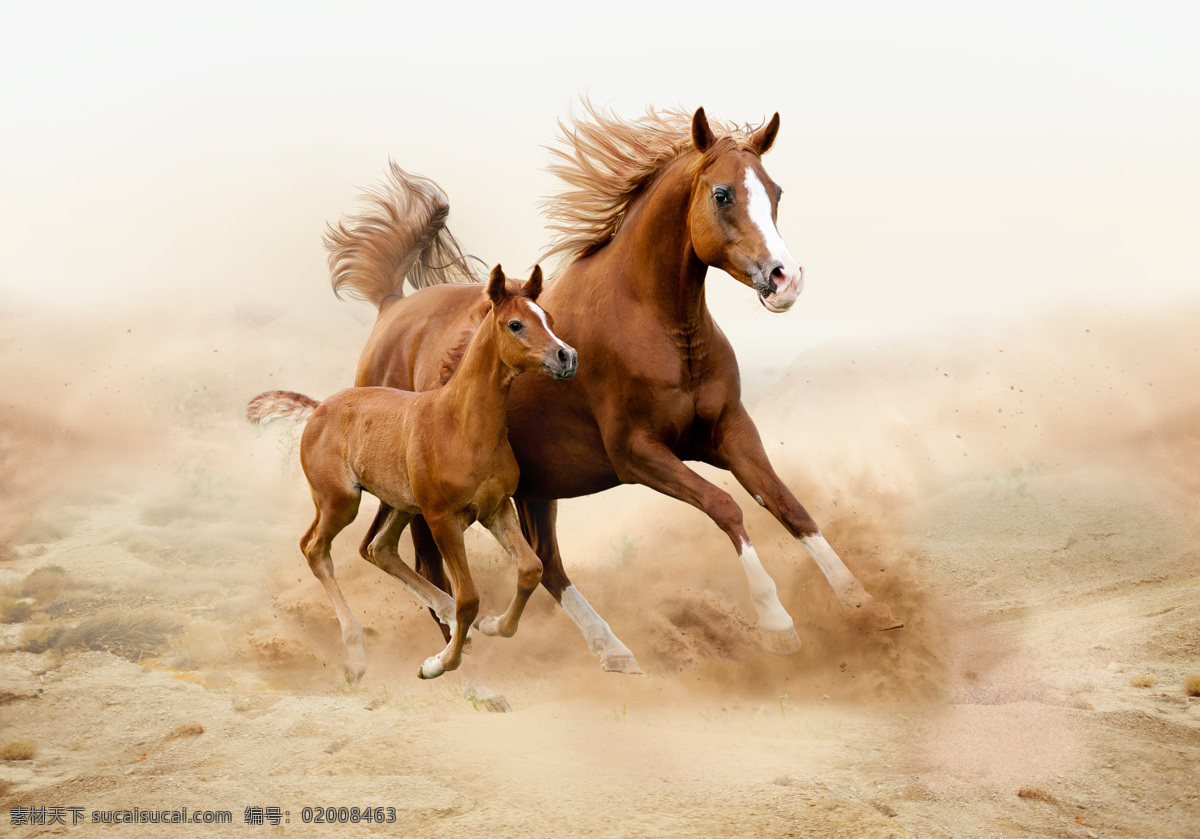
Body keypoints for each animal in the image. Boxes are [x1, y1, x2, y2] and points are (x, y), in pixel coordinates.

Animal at [246, 268, 573, 681]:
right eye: (515, 324)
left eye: (549, 318)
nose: (566, 356)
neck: (461, 426)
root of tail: (319, 407)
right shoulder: (442, 519)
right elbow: (469, 597)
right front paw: (437, 664)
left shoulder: (496, 509)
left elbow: (531, 569)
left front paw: (492, 625)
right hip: (341, 501)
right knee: (315, 547)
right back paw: (356, 654)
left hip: (400, 503)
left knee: (378, 548)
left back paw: (451, 624)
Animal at [324, 105, 897, 705]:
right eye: (722, 194)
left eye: (776, 190)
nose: (786, 280)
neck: (657, 324)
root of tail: (392, 308)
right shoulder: (638, 453)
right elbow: (727, 507)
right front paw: (777, 624)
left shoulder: (730, 432)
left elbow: (788, 505)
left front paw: (867, 605)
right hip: (426, 499)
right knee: (429, 570)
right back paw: (473, 681)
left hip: (535, 487)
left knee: (545, 564)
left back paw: (612, 651)